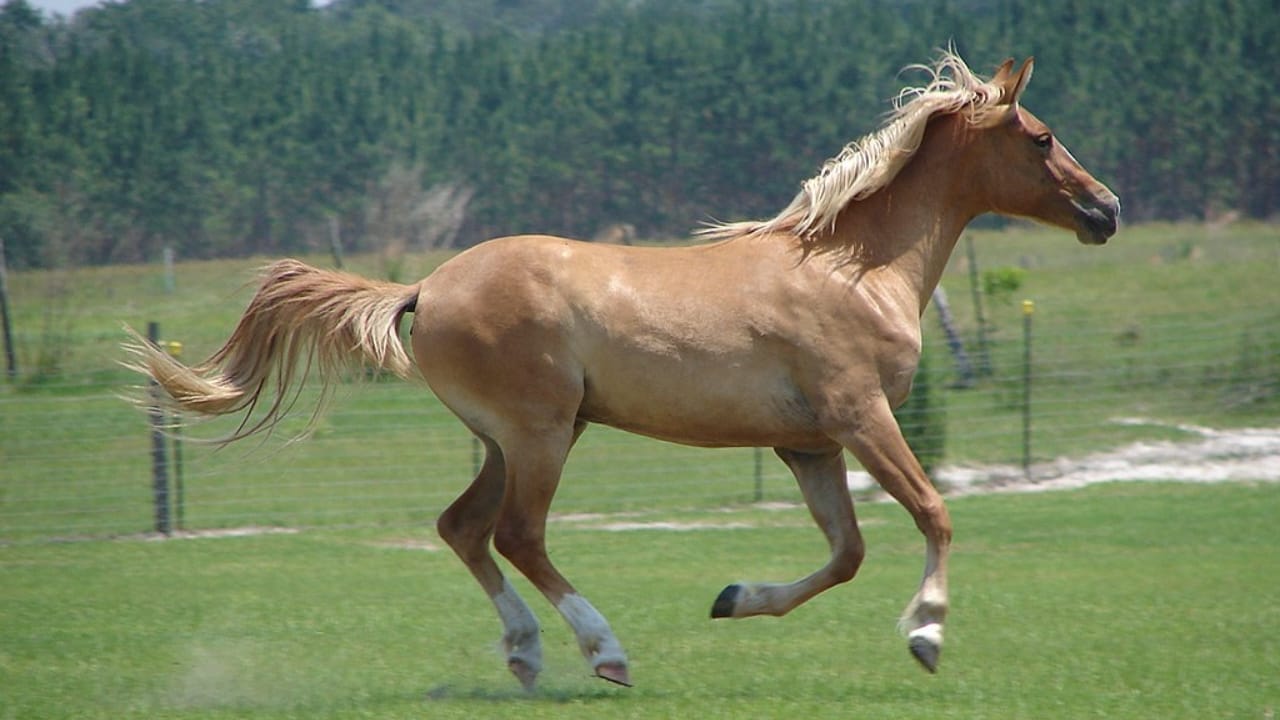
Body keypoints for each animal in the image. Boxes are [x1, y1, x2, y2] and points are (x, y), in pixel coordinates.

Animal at [125, 52, 1119, 690]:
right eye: (1040, 137)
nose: (1106, 209)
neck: (853, 266)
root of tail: (425, 287)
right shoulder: (861, 416)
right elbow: (933, 516)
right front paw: (927, 634)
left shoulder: (809, 445)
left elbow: (846, 553)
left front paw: (733, 598)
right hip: (539, 435)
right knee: (519, 536)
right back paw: (604, 654)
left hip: (513, 439)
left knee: (463, 529)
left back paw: (526, 654)